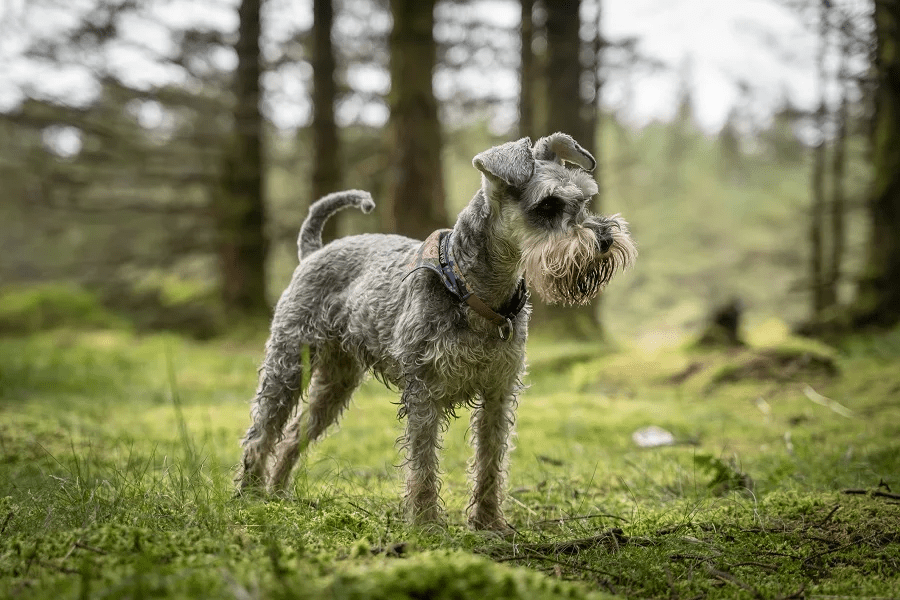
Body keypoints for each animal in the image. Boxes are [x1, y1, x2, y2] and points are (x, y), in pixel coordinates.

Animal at [236, 134, 636, 532]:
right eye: (548, 203)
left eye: (585, 198)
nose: (604, 239)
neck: (477, 292)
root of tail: (313, 253)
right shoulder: (424, 391)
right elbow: (423, 462)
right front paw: (426, 523)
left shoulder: (499, 391)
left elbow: (490, 460)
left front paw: (488, 522)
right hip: (288, 366)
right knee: (261, 432)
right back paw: (251, 495)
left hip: (336, 383)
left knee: (293, 434)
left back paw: (278, 493)